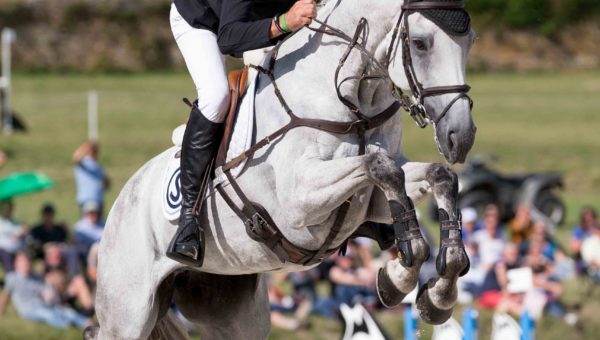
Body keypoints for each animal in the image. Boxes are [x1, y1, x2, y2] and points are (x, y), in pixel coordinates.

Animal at [85, 1, 478, 338]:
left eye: (470, 41)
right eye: (420, 43)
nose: (460, 137)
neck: (353, 100)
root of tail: (122, 199)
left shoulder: (370, 202)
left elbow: (439, 176)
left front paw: (433, 292)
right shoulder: (299, 203)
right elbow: (380, 166)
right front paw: (401, 273)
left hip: (233, 310)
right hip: (129, 313)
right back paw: (185, 236)